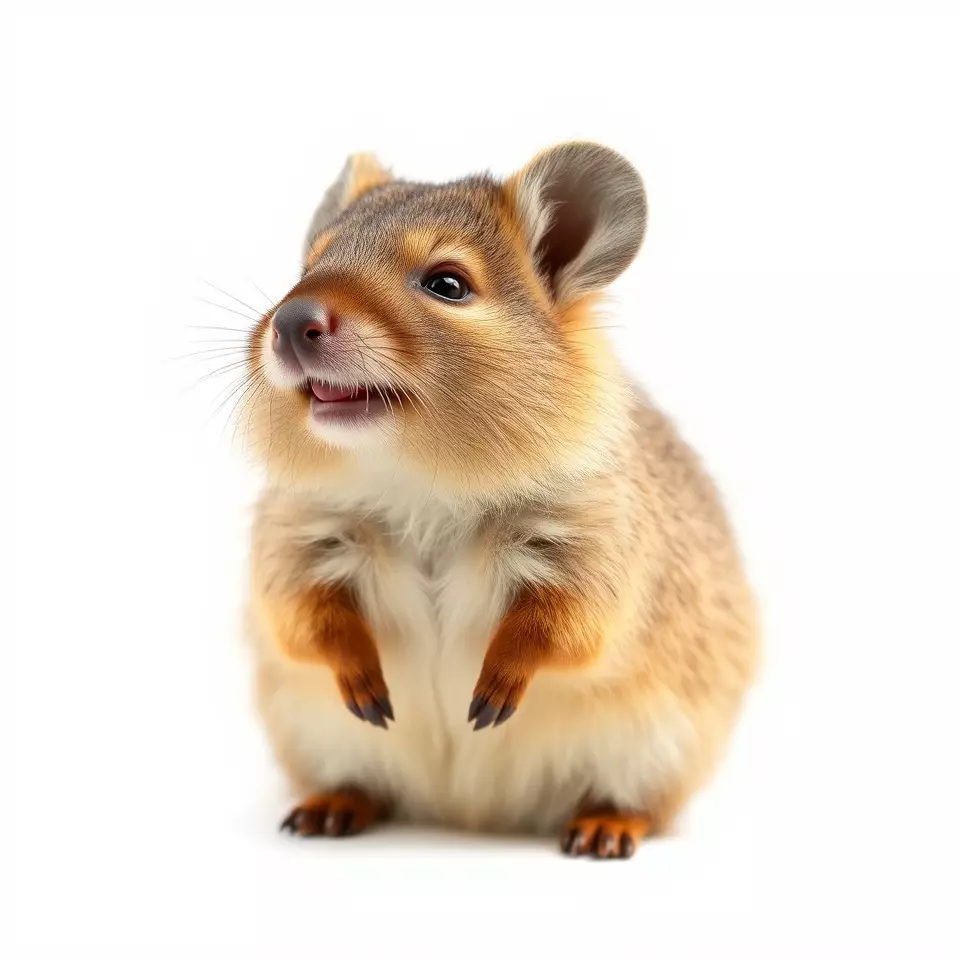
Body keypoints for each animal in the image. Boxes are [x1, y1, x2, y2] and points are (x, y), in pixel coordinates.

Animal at [239, 143, 758, 858]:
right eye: (309, 264)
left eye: (447, 284)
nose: (291, 320)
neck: (422, 482)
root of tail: (471, 814)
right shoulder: (297, 542)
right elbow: (304, 620)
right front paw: (363, 681)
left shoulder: (597, 552)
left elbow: (563, 627)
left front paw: (493, 692)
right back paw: (333, 806)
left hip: (657, 752)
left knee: (640, 805)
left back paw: (604, 825)